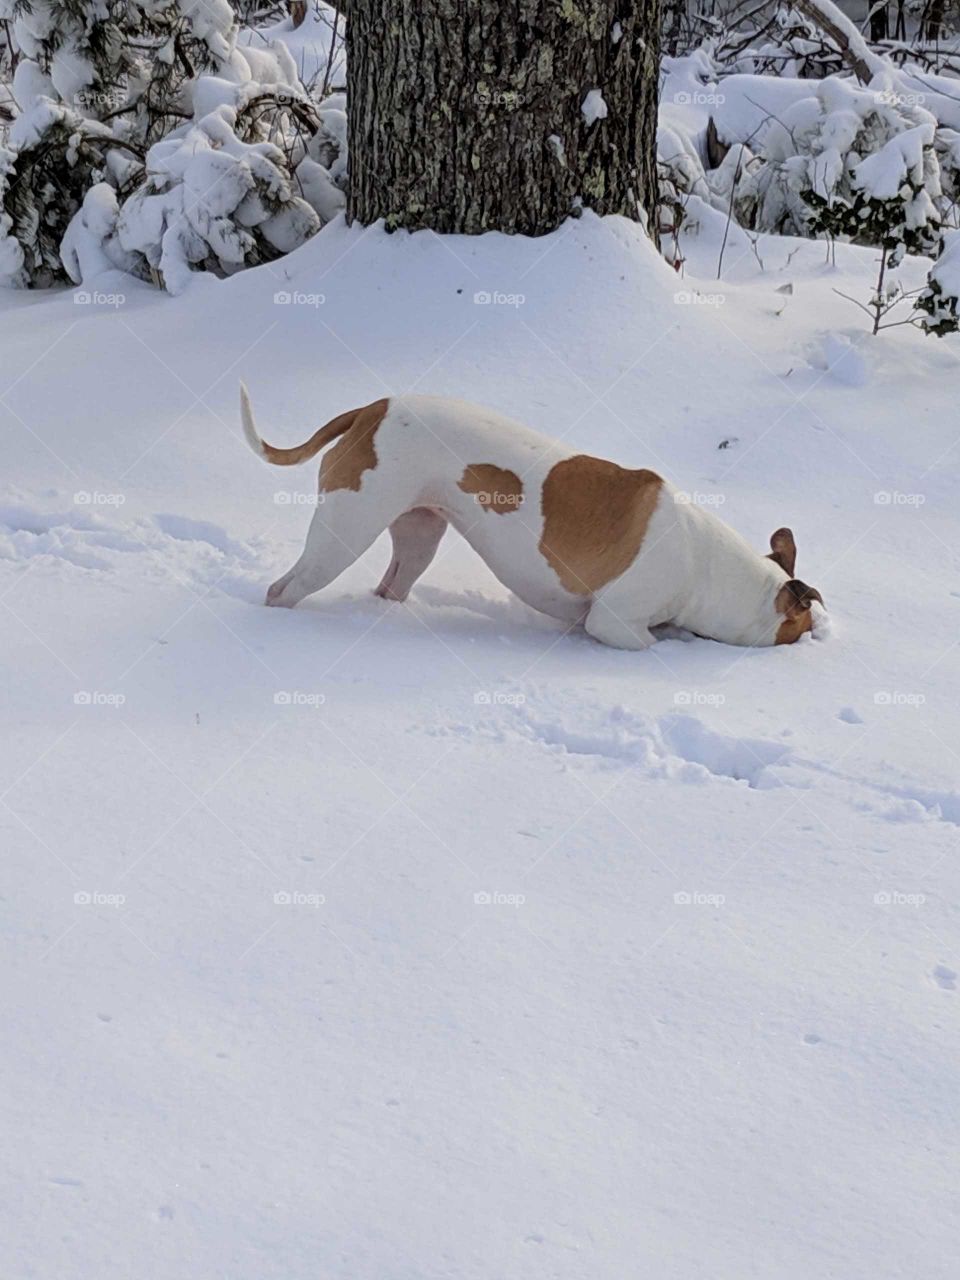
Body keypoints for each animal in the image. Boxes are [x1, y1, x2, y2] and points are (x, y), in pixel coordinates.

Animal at [240, 384, 829, 650]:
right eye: (803, 625)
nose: (823, 636)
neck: (709, 569)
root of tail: (372, 408)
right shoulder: (612, 623)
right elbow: (651, 639)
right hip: (343, 533)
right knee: (285, 589)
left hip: (419, 535)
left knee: (392, 584)